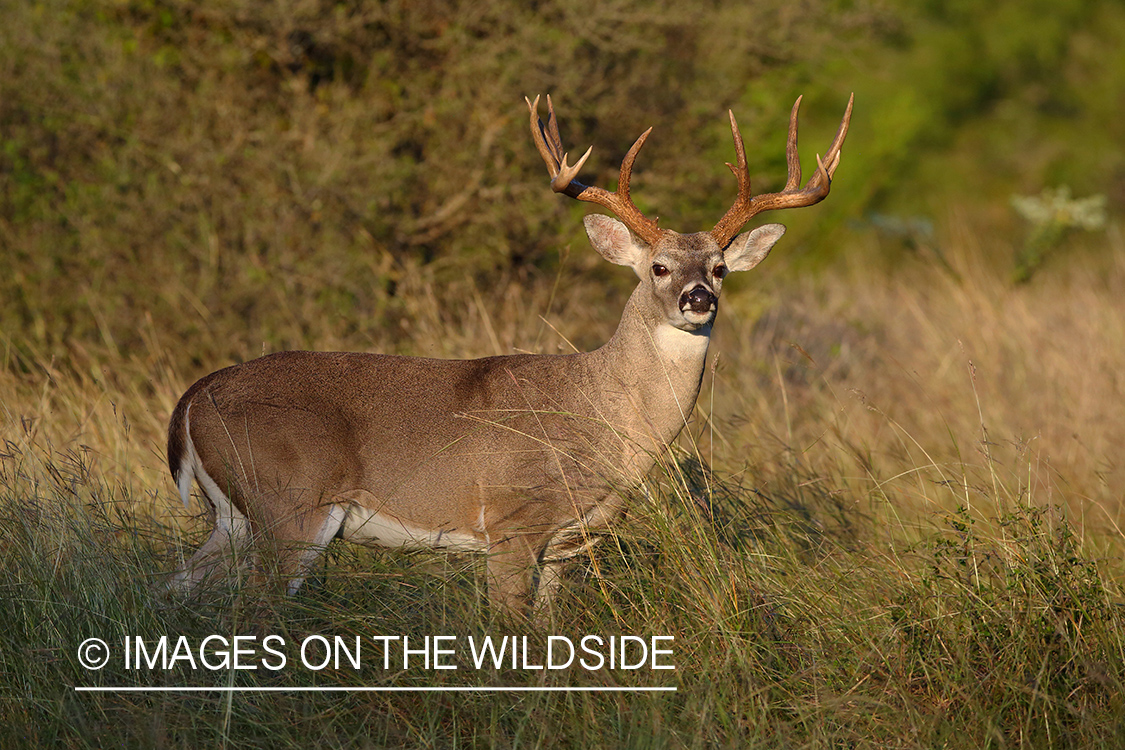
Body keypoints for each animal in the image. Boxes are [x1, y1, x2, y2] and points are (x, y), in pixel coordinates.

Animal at [168, 93, 850, 620]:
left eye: (720, 267)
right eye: (658, 266)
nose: (698, 297)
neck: (602, 417)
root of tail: (191, 400)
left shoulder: (570, 543)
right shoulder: (511, 521)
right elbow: (511, 631)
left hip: (233, 518)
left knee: (172, 588)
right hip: (291, 504)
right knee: (254, 606)